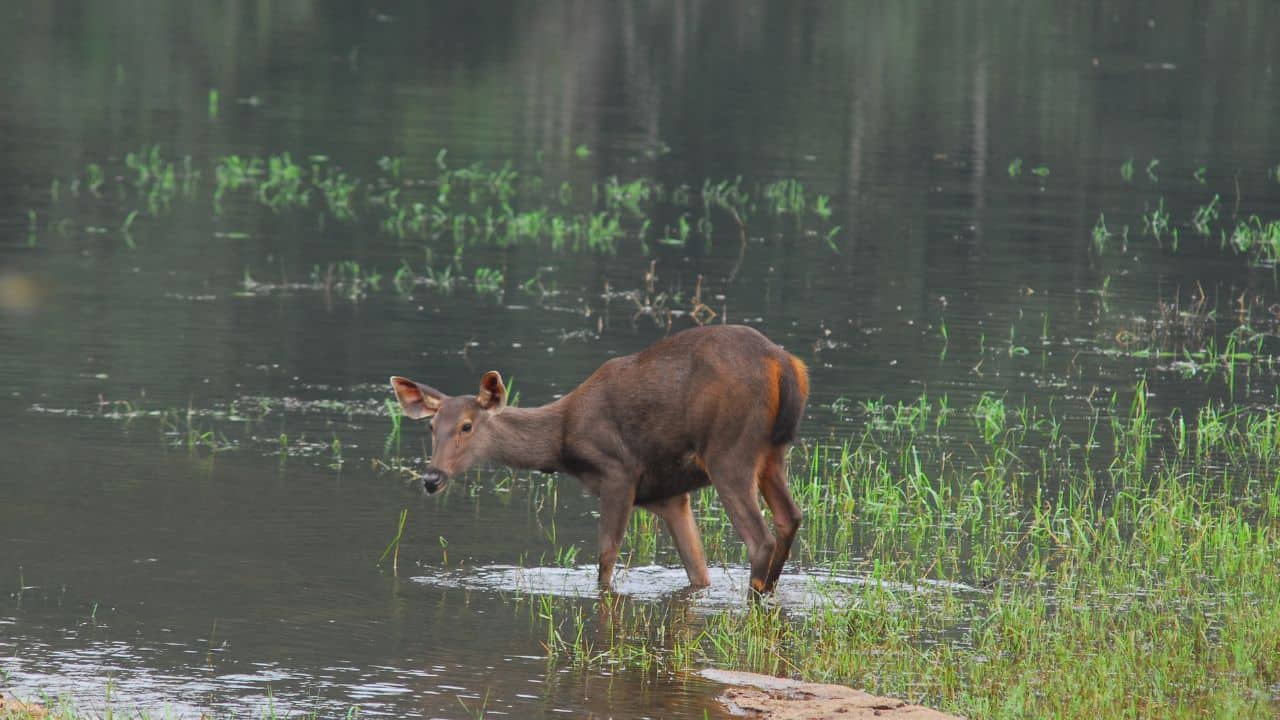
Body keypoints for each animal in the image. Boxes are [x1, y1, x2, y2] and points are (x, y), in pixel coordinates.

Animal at [389, 324, 810, 595]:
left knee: (760, 538)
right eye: (432, 427)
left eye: (466, 426)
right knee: (790, 516)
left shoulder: (618, 473)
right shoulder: (670, 497)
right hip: (773, 454)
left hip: (729, 451)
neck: (562, 445)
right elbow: (698, 572)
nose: (432, 477)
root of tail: (784, 363)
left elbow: (606, 558)